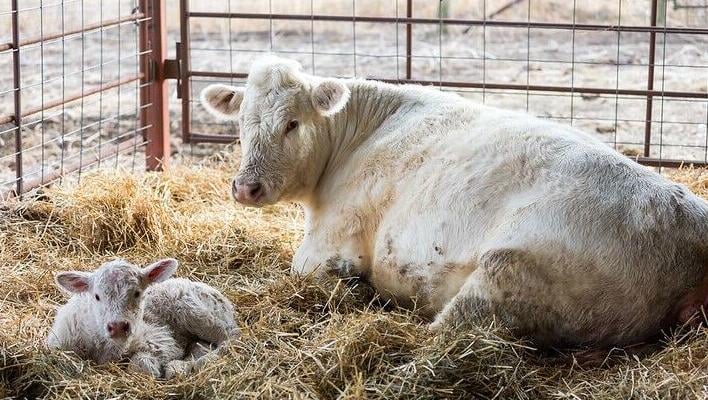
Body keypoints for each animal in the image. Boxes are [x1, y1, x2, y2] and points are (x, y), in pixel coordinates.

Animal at [200, 55, 708, 347]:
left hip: (506, 274)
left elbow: (306, 268)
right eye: (241, 120)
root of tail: (688, 222)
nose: (245, 187)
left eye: (293, 123)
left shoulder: (330, 240)